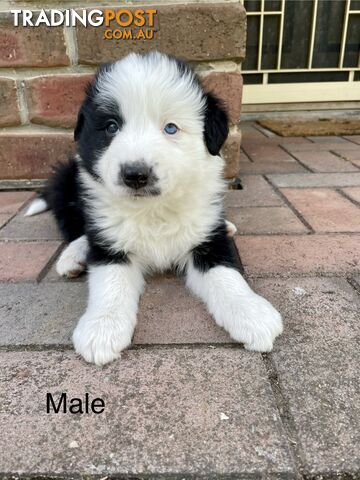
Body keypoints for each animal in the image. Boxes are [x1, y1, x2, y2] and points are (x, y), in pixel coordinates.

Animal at [26, 51, 282, 364]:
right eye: (111, 127)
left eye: (170, 128)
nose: (135, 174)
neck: (154, 209)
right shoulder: (112, 248)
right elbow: (110, 283)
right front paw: (101, 330)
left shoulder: (207, 240)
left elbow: (226, 274)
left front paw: (252, 314)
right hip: (69, 183)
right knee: (78, 229)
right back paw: (73, 257)